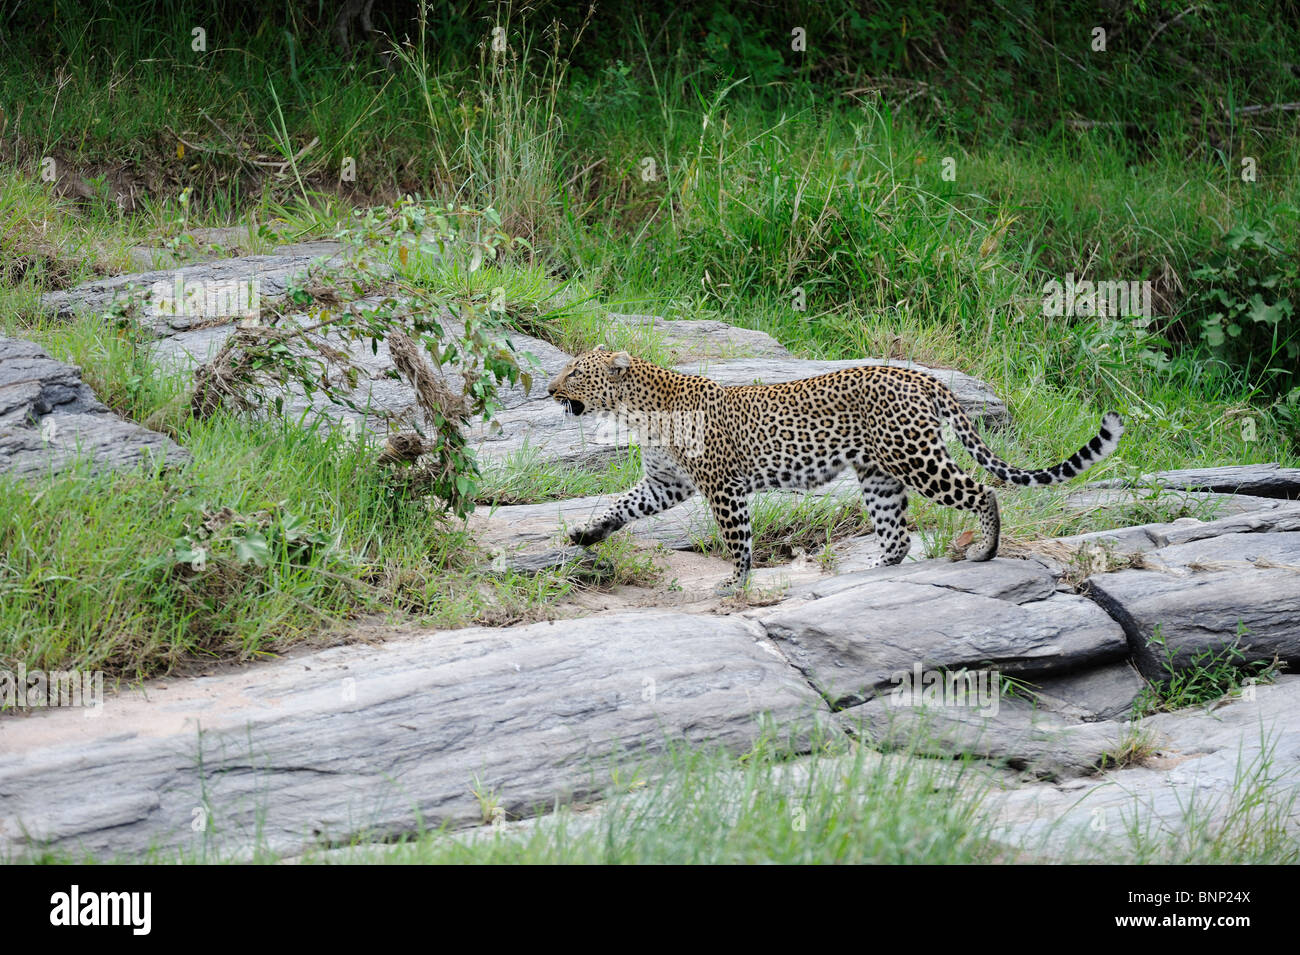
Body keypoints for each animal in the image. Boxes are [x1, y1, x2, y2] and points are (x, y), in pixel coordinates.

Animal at [547, 345, 1124, 594]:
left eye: (574, 372)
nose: (549, 390)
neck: (637, 410)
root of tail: (921, 377)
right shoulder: (665, 484)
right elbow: (622, 505)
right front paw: (585, 534)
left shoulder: (722, 486)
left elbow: (737, 538)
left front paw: (734, 582)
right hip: (879, 473)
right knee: (898, 533)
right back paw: (870, 571)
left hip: (916, 458)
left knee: (982, 490)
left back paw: (984, 550)